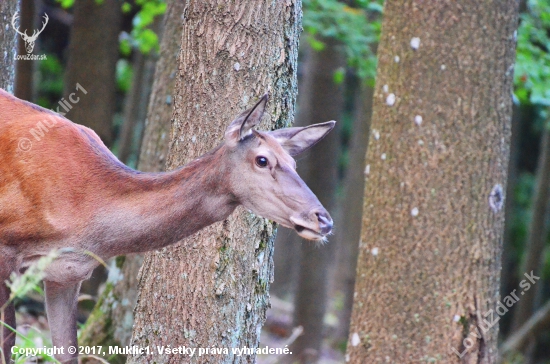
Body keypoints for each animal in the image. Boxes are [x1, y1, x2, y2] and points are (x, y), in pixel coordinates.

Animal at [0, 89, 336, 364]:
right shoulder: (5, 247)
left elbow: (68, 351)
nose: (324, 219)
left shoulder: (67, 274)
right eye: (262, 160)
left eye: (293, 164)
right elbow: (8, 342)